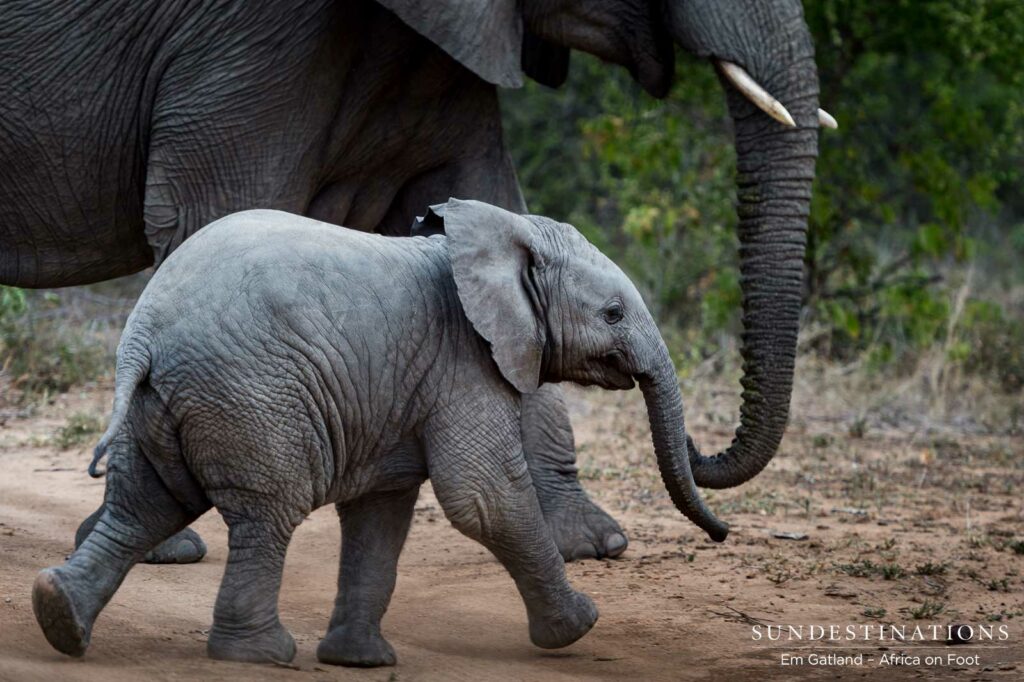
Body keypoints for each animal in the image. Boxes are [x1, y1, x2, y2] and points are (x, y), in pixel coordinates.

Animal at [2, 0, 828, 563]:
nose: (697, 449)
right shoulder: (242, 39)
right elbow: (215, 214)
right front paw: (160, 540)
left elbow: (482, 197)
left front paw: (591, 546)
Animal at [31, 201, 728, 667]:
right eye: (612, 313)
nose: (721, 533)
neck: (500, 233)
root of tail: (143, 333)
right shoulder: (463, 361)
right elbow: (484, 499)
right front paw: (581, 625)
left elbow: (382, 513)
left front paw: (360, 663)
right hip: (252, 395)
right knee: (265, 514)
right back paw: (258, 656)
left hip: (162, 405)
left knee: (143, 507)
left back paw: (59, 616)